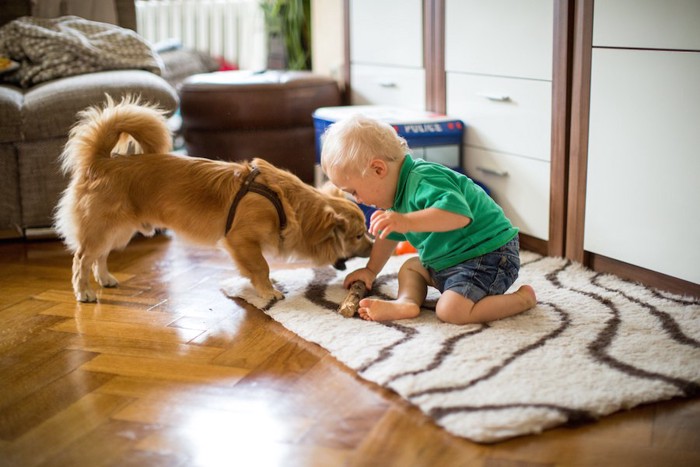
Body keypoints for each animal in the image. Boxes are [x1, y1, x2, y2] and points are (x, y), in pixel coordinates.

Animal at [55, 96, 374, 304]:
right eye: (359, 235)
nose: (374, 246)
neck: (286, 204)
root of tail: (100, 161)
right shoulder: (241, 240)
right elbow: (262, 266)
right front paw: (268, 291)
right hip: (104, 228)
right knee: (82, 258)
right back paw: (84, 292)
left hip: (119, 230)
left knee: (99, 256)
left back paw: (105, 279)